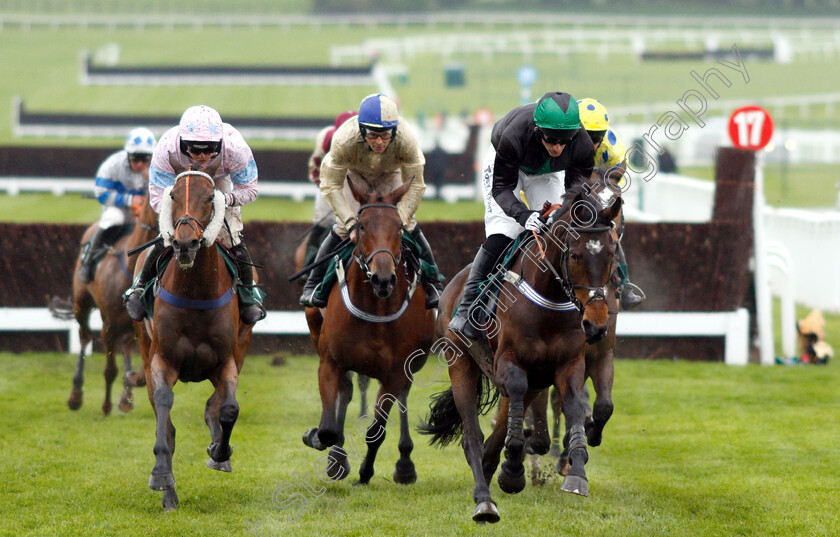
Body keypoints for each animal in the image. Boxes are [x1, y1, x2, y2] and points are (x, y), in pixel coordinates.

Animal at [49, 188, 159, 414]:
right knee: (84, 336)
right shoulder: (108, 323)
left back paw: (126, 396)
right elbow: (110, 369)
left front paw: (127, 391)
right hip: (81, 304)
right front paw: (106, 404)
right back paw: (76, 394)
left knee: (126, 344)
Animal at [139, 170, 253, 508]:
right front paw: (161, 476)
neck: (196, 293)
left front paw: (220, 451)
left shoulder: (226, 360)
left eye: (209, 197)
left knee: (216, 405)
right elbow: (165, 410)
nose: (185, 243)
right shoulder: (161, 359)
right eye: (173, 195)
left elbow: (228, 409)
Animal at [300, 180, 434, 486]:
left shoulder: (396, 372)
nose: (383, 279)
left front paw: (366, 472)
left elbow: (377, 430)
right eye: (361, 226)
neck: (376, 306)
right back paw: (336, 459)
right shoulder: (330, 361)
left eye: (399, 227)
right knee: (345, 393)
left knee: (403, 398)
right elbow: (327, 428)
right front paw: (320, 441)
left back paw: (405, 463)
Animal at [424, 186, 620, 520]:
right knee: (473, 437)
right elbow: (515, 399)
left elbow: (575, 405)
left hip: (536, 382)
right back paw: (484, 500)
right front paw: (514, 468)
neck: (549, 299)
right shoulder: (509, 363)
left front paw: (576, 471)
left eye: (610, 253)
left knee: (496, 436)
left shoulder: (569, 365)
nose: (595, 325)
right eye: (575, 255)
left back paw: (495, 473)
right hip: (460, 361)